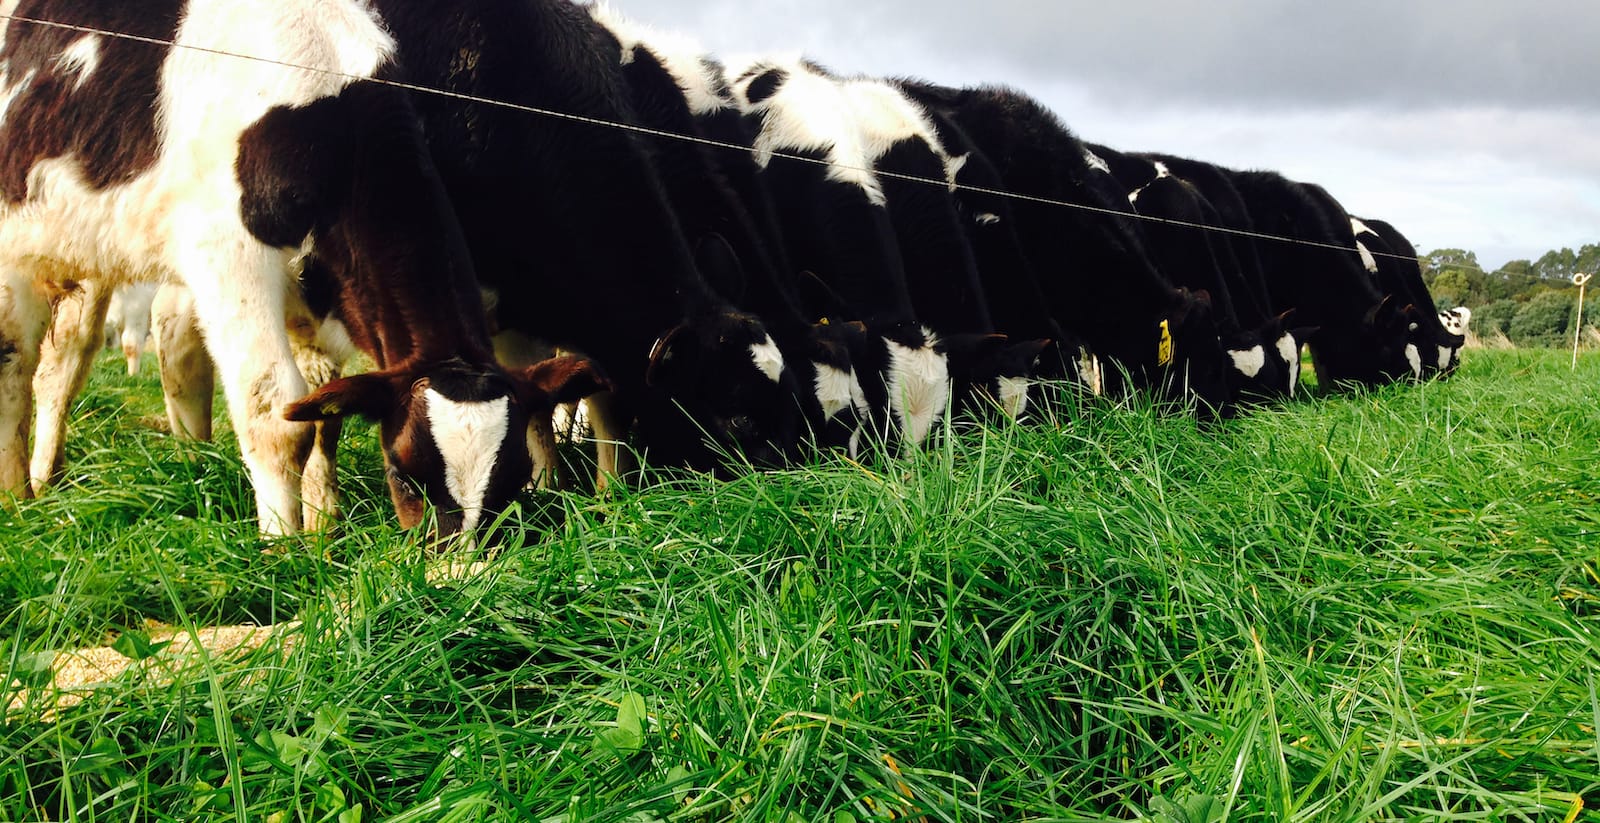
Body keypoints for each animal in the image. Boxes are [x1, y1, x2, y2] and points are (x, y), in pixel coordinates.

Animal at [0, 0, 604, 534]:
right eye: (402, 474)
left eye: (514, 479)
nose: (463, 567)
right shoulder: (227, 255)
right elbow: (273, 411)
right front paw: (284, 547)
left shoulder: (317, 293)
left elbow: (319, 413)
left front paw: (322, 526)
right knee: (16, 359)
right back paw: (16, 496)